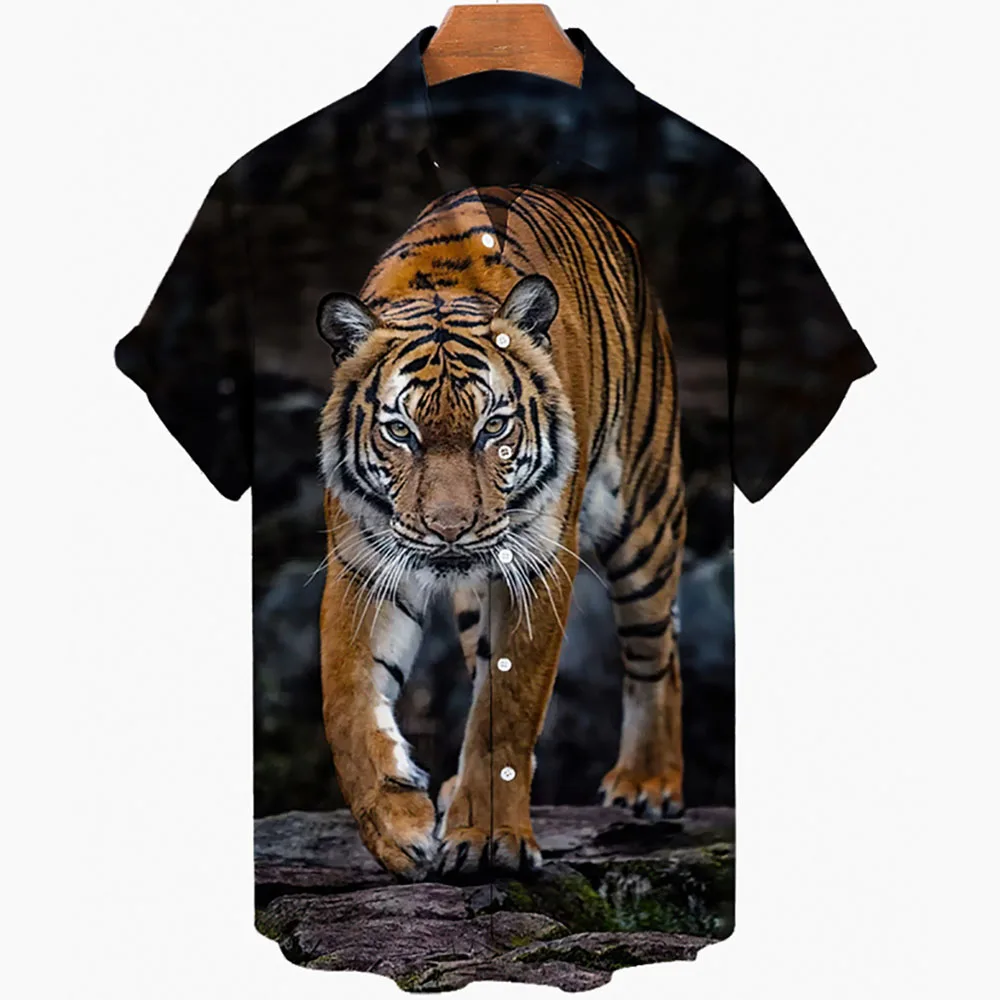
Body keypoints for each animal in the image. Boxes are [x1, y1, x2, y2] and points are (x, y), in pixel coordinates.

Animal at [316, 184, 685, 880]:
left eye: (493, 427)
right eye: (400, 431)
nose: (450, 531)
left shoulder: (538, 563)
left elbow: (507, 709)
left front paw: (490, 840)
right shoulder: (363, 564)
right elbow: (347, 700)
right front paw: (399, 828)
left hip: (645, 518)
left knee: (658, 653)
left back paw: (648, 783)